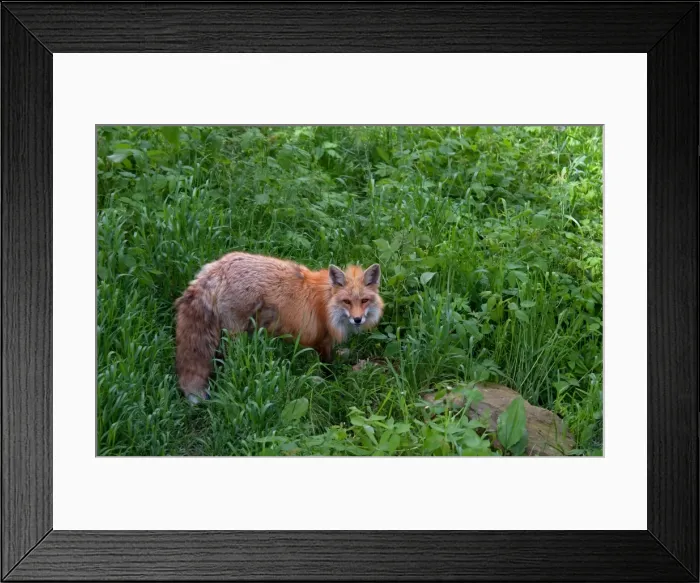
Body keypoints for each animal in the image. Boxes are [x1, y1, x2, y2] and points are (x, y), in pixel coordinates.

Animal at [174, 252, 384, 403]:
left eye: (364, 301)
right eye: (347, 301)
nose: (357, 319)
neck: (327, 303)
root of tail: (216, 270)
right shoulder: (322, 340)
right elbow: (327, 366)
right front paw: (333, 381)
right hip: (236, 336)